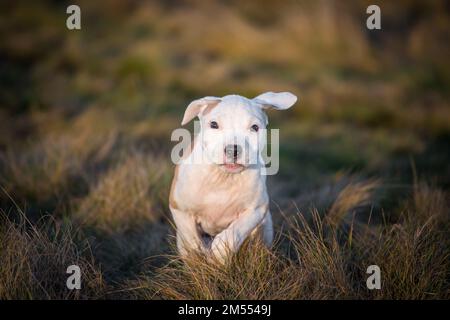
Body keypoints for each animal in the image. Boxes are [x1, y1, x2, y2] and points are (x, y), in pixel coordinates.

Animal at [168, 90, 296, 262]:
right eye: (214, 125)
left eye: (254, 127)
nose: (232, 150)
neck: (223, 177)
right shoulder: (180, 208)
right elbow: (192, 241)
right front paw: (201, 256)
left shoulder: (256, 209)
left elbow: (235, 232)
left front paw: (218, 254)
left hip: (265, 229)